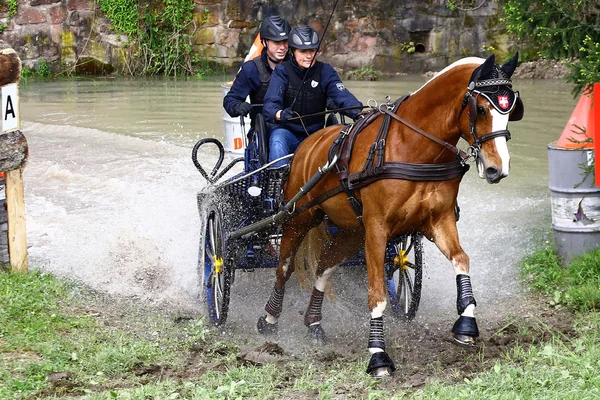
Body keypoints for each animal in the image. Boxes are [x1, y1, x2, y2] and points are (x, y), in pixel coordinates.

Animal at [255, 54, 524, 378]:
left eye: (511, 111)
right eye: (481, 108)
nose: (498, 168)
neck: (414, 146)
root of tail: (309, 142)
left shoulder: (439, 221)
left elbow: (461, 260)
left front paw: (466, 323)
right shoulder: (377, 230)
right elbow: (378, 294)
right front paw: (378, 354)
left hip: (350, 231)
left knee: (323, 267)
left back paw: (314, 321)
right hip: (300, 217)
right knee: (284, 267)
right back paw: (269, 318)